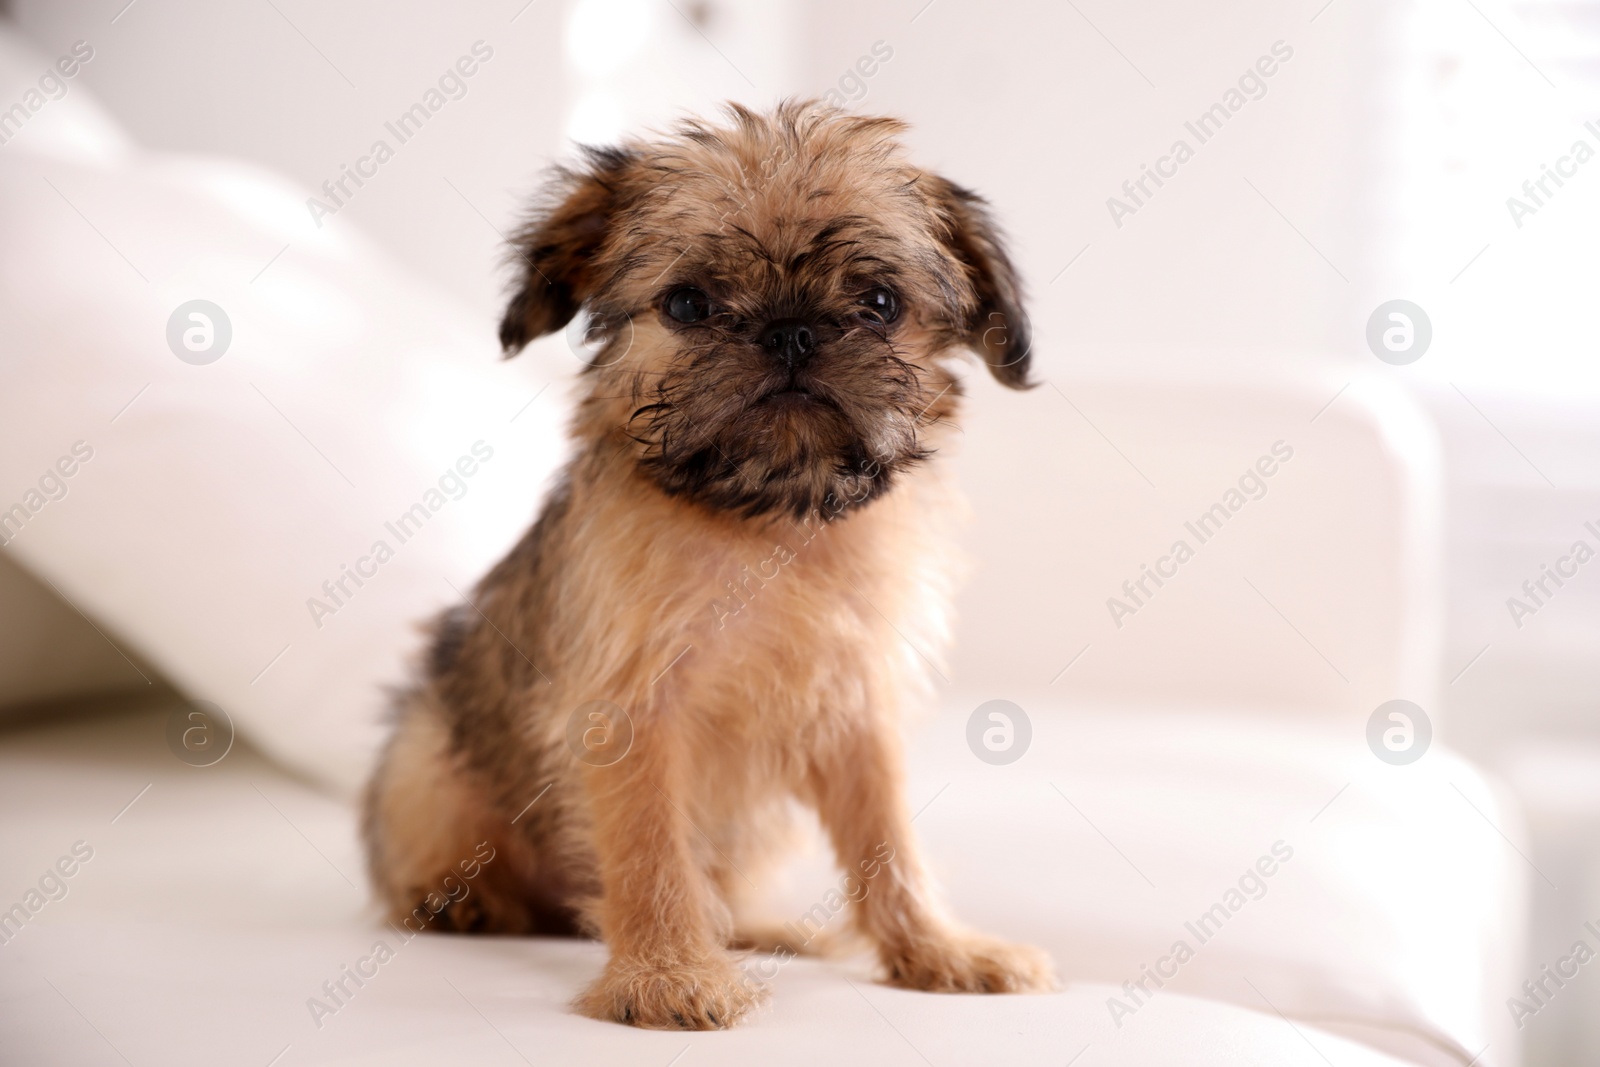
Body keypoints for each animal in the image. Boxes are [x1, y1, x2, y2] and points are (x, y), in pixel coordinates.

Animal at [363, 102, 1049, 1036]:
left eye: (879, 303)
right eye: (689, 303)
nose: (790, 329)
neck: (768, 522)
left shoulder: (855, 711)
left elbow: (888, 842)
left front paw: (937, 949)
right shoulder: (631, 709)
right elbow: (653, 852)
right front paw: (667, 974)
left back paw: (758, 928)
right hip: (426, 757)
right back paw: (462, 899)